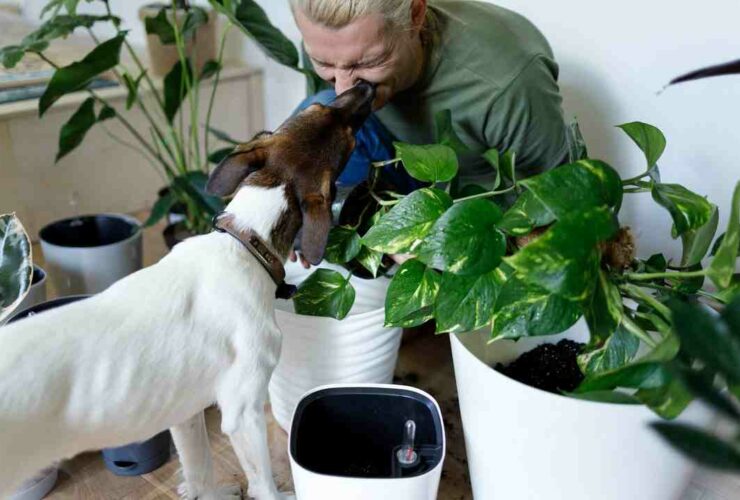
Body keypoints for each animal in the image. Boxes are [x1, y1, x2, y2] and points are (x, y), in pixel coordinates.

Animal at [0, 83, 376, 500]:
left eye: (315, 108)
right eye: (347, 134)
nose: (366, 86)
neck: (245, 242)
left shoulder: (184, 412)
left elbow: (200, 470)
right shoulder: (243, 414)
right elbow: (263, 482)